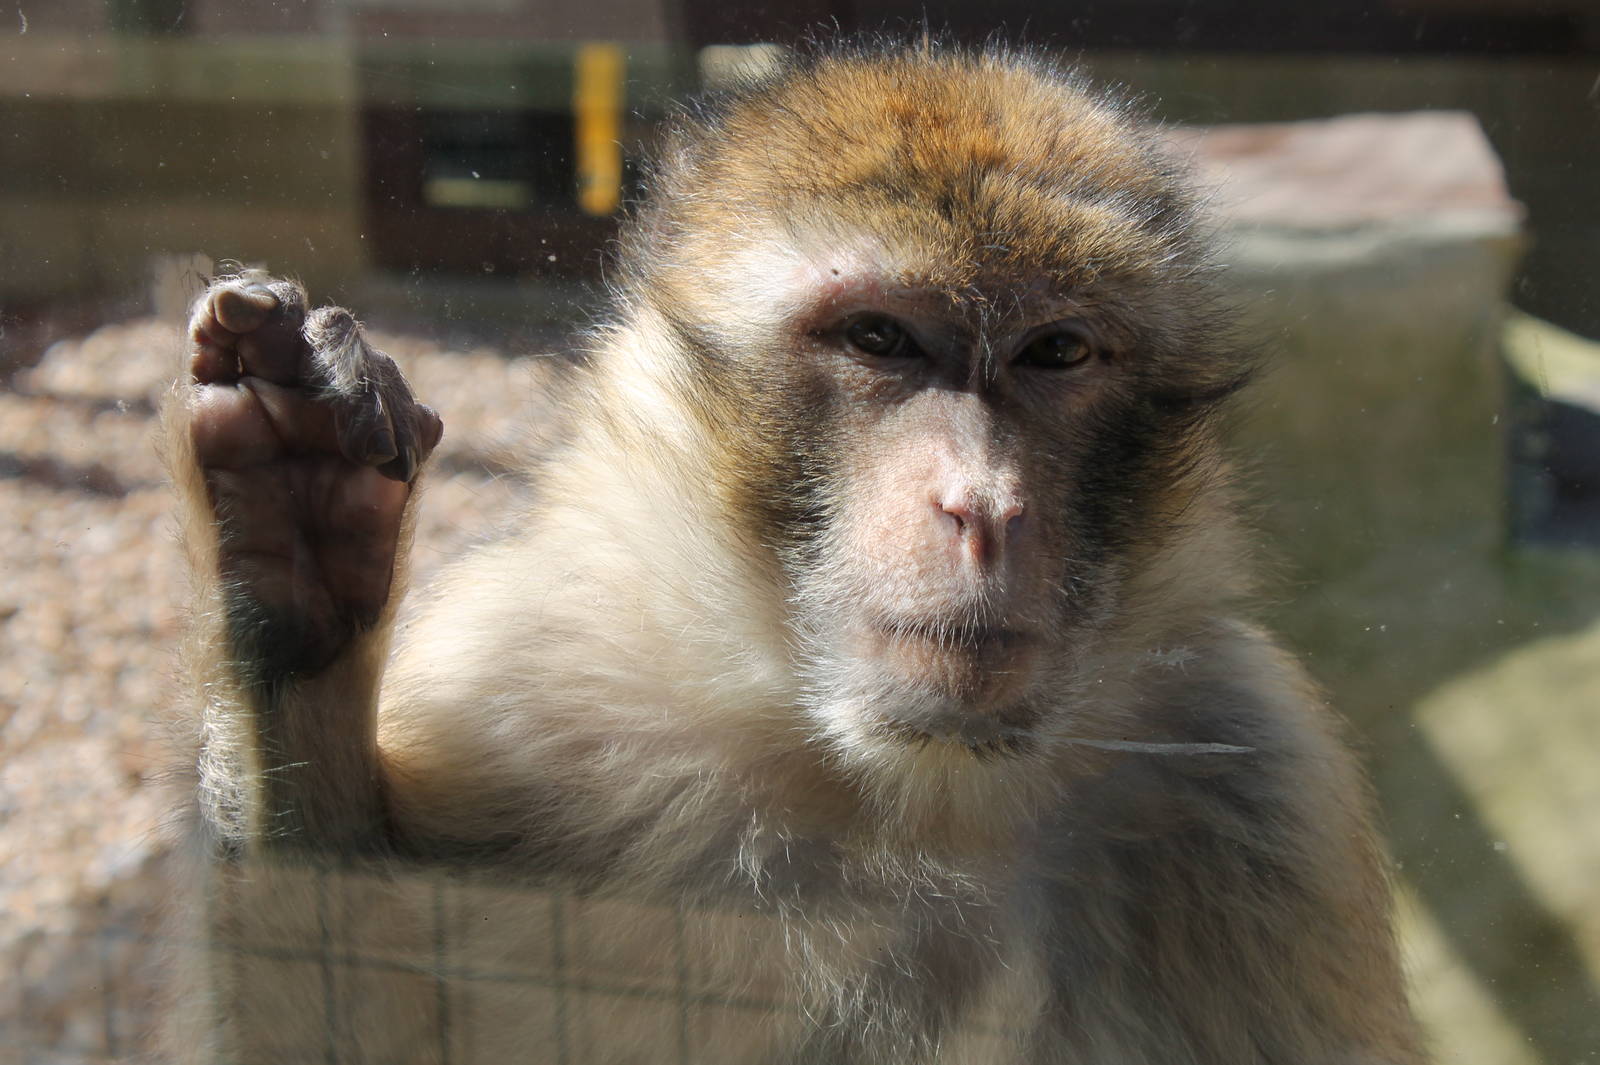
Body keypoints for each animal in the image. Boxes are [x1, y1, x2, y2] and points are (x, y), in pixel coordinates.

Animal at [162, 42, 1427, 1065]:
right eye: (880, 338)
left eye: (1057, 352)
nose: (983, 506)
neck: (890, 794)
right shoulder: (507, 685)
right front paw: (285, 569)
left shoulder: (1257, 788)